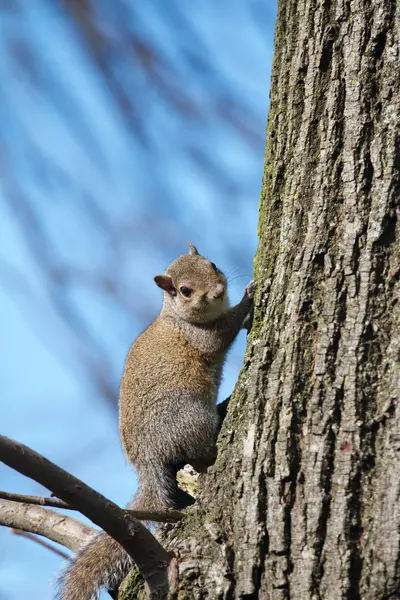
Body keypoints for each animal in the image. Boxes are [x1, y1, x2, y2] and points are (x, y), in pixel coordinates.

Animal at [58, 244, 258, 600]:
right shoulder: (202, 335)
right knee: (199, 451)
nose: (218, 291)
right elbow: (222, 333)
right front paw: (248, 298)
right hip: (189, 416)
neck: (177, 316)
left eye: (211, 264)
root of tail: (147, 460)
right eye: (185, 291)